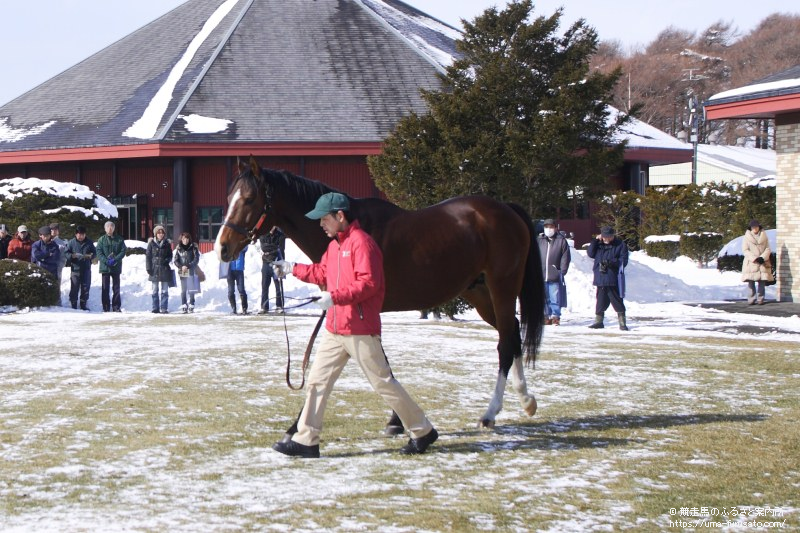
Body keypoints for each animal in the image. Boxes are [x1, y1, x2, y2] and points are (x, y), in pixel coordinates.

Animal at [216, 157, 548, 432]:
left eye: (249, 199)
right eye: (229, 198)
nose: (223, 248)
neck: (350, 230)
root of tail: (506, 209)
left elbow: (378, 364)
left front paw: (396, 420)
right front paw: (396, 420)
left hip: (502, 287)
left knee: (505, 343)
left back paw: (491, 413)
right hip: (480, 293)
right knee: (512, 334)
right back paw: (526, 401)